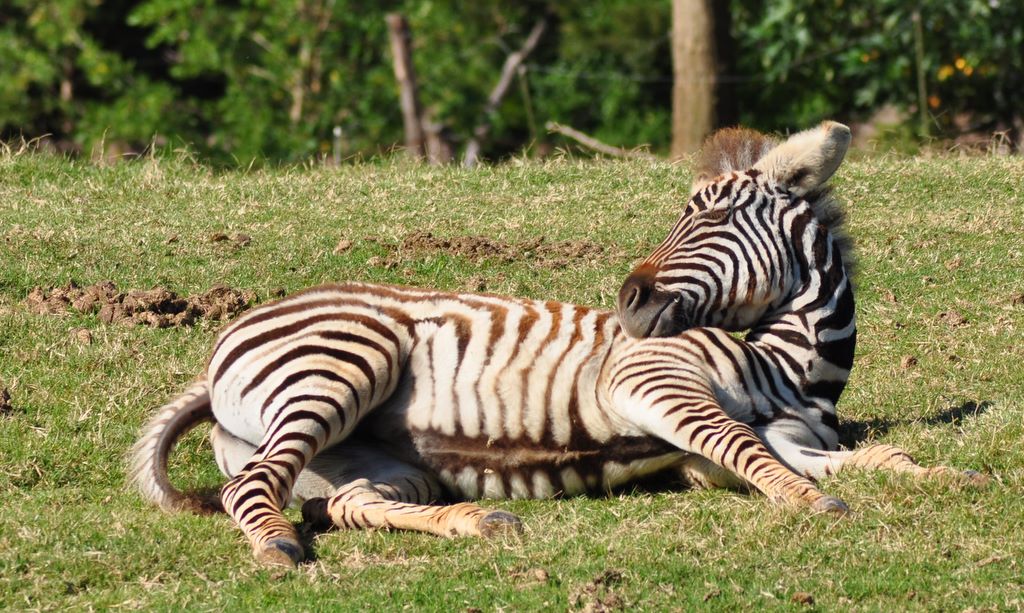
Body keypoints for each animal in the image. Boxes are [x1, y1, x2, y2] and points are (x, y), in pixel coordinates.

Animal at [131, 121, 983, 568]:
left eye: (708, 216)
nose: (628, 299)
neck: (792, 364)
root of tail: (222, 350)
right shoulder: (648, 381)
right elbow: (745, 444)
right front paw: (812, 503)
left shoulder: (764, 443)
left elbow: (874, 456)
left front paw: (949, 472)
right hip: (343, 364)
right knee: (257, 492)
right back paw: (280, 546)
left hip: (372, 460)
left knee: (346, 502)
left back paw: (476, 522)